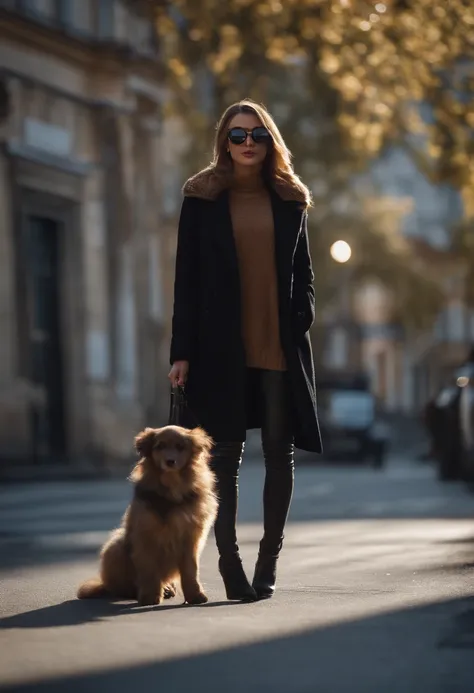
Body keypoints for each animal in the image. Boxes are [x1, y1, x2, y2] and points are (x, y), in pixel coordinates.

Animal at [77, 424, 218, 604]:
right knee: (123, 586)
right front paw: (150, 596)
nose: (170, 461)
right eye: (160, 446)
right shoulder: (145, 535)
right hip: (116, 545)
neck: (172, 487)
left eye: (180, 447)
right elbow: (149, 569)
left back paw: (167, 588)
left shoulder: (190, 537)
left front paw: (195, 595)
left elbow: (190, 569)